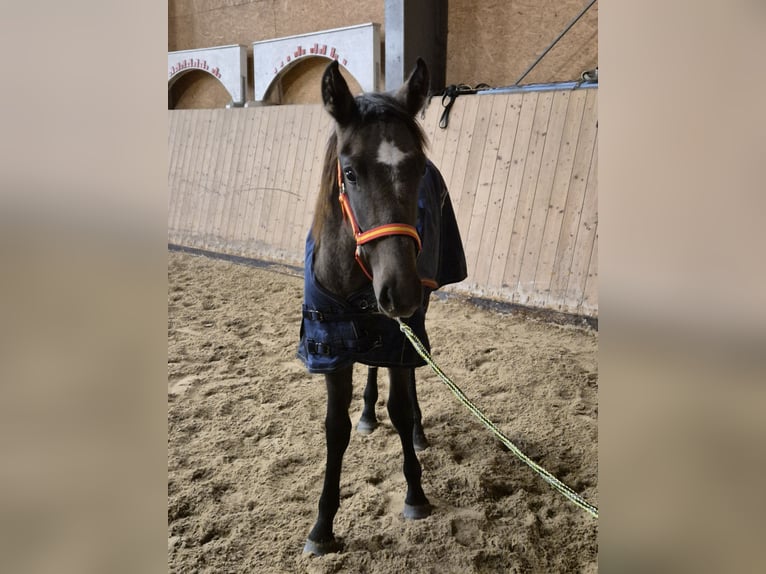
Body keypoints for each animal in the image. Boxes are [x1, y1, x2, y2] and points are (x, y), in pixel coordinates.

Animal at [298, 59, 468, 560]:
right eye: (350, 172)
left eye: (417, 168)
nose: (399, 290)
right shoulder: (330, 347)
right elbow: (334, 428)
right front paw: (322, 527)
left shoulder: (399, 333)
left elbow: (401, 402)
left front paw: (415, 494)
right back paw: (368, 413)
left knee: (410, 377)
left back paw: (417, 430)